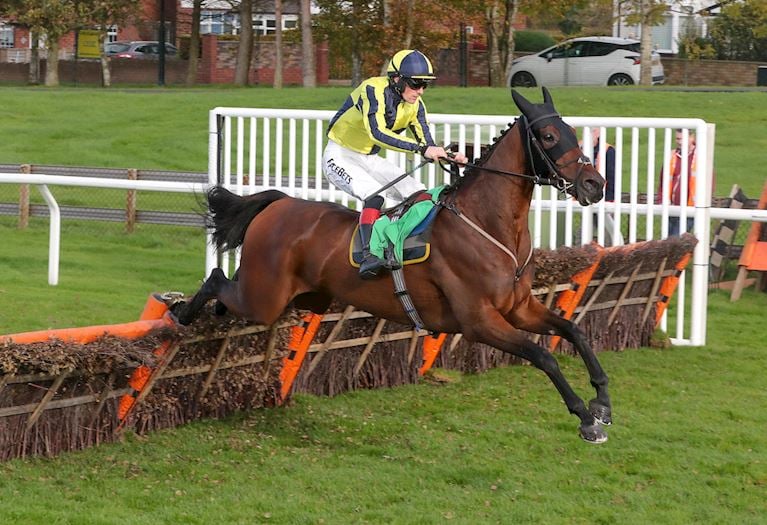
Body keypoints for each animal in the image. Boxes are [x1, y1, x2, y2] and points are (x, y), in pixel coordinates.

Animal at [177, 87, 616, 442]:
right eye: (548, 136)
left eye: (574, 132)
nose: (595, 184)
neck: (488, 225)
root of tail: (279, 203)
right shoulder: (480, 321)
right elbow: (544, 356)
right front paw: (584, 417)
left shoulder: (519, 308)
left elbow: (574, 332)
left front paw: (603, 401)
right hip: (264, 298)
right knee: (216, 278)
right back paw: (181, 312)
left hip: (300, 296)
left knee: (226, 293)